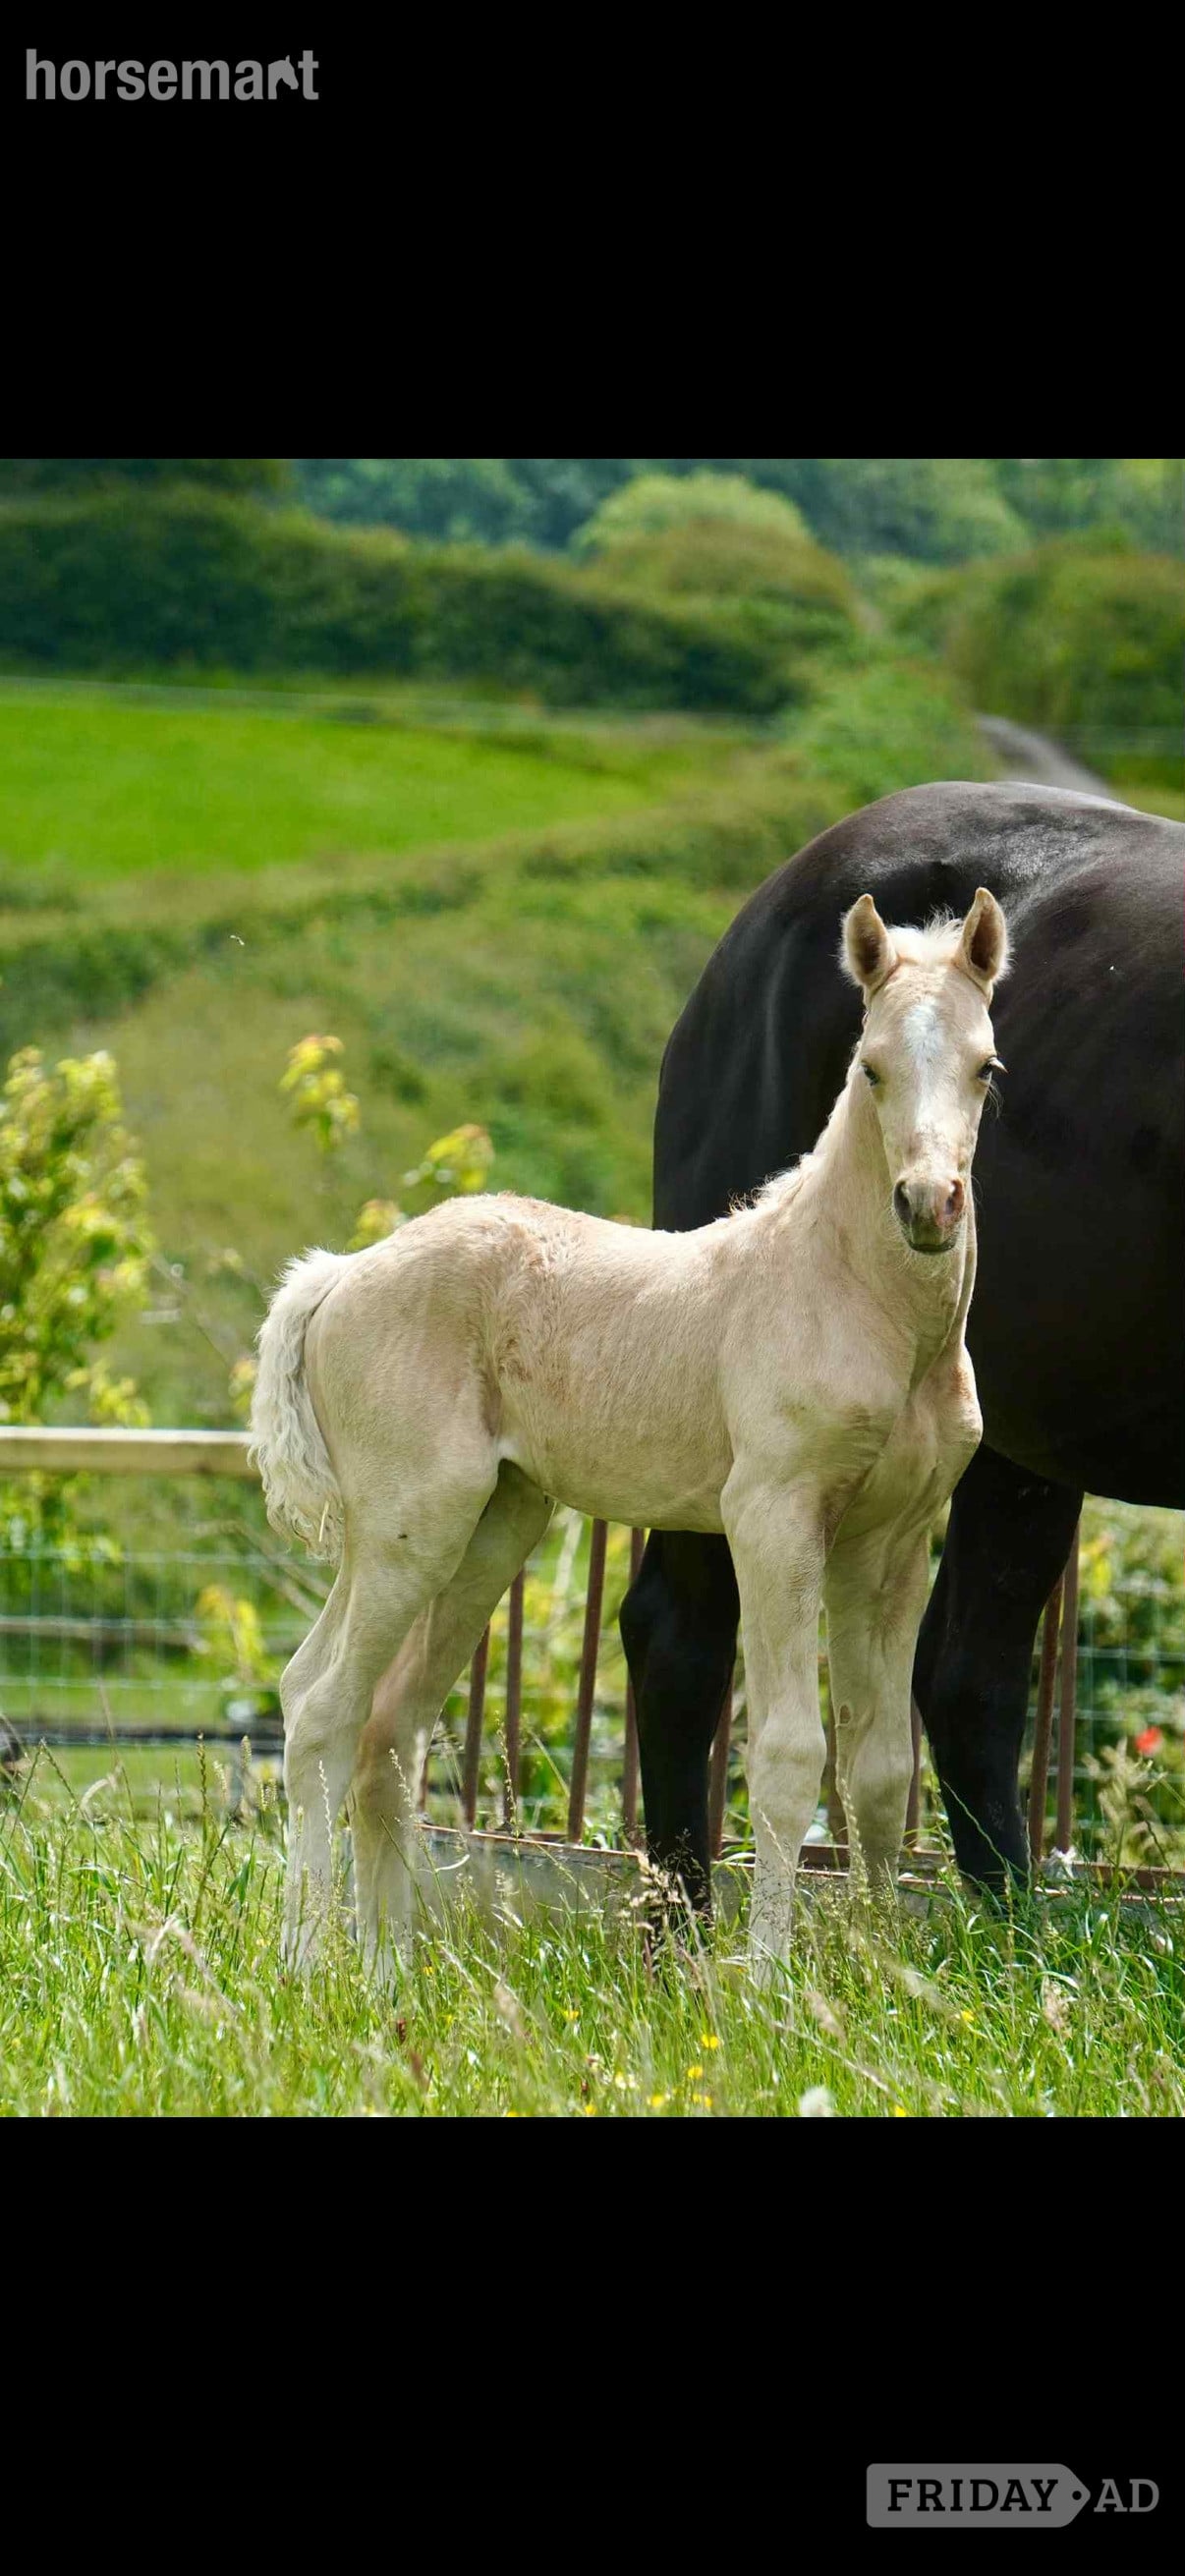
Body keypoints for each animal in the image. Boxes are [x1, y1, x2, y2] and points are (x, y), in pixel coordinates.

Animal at [251, 886, 1009, 1979]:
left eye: (985, 1067)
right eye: (870, 1067)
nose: (928, 1205)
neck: (853, 1300)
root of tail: (344, 1272)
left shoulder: (894, 1540)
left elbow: (876, 1769)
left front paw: (879, 1975)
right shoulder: (773, 1517)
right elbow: (787, 1755)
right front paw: (769, 1983)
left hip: (491, 1526)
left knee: (378, 1721)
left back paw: (391, 1970)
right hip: (408, 1524)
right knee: (324, 1710)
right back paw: (309, 1962)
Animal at [619, 780, 1184, 1908]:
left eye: (991, 1067)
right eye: (869, 1071)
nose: (932, 1203)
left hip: (1018, 1453)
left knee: (967, 1682)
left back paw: (1012, 1932)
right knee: (680, 1642)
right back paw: (682, 1923)